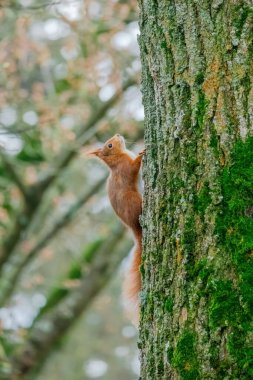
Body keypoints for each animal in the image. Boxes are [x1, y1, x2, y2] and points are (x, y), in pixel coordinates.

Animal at [89, 134, 144, 324]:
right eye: (110, 145)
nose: (118, 135)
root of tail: (134, 228)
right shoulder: (125, 167)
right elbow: (134, 167)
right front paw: (142, 154)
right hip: (134, 201)